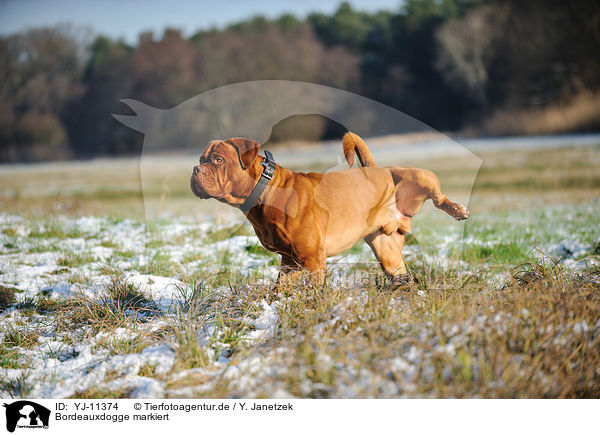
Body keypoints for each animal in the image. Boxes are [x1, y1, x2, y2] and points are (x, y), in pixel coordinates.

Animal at [191, 134, 468, 290]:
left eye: (217, 160)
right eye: (202, 159)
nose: (196, 169)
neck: (266, 188)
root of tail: (375, 168)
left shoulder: (313, 260)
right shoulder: (290, 262)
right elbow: (279, 288)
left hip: (417, 175)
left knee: (438, 196)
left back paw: (458, 210)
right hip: (386, 249)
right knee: (398, 269)